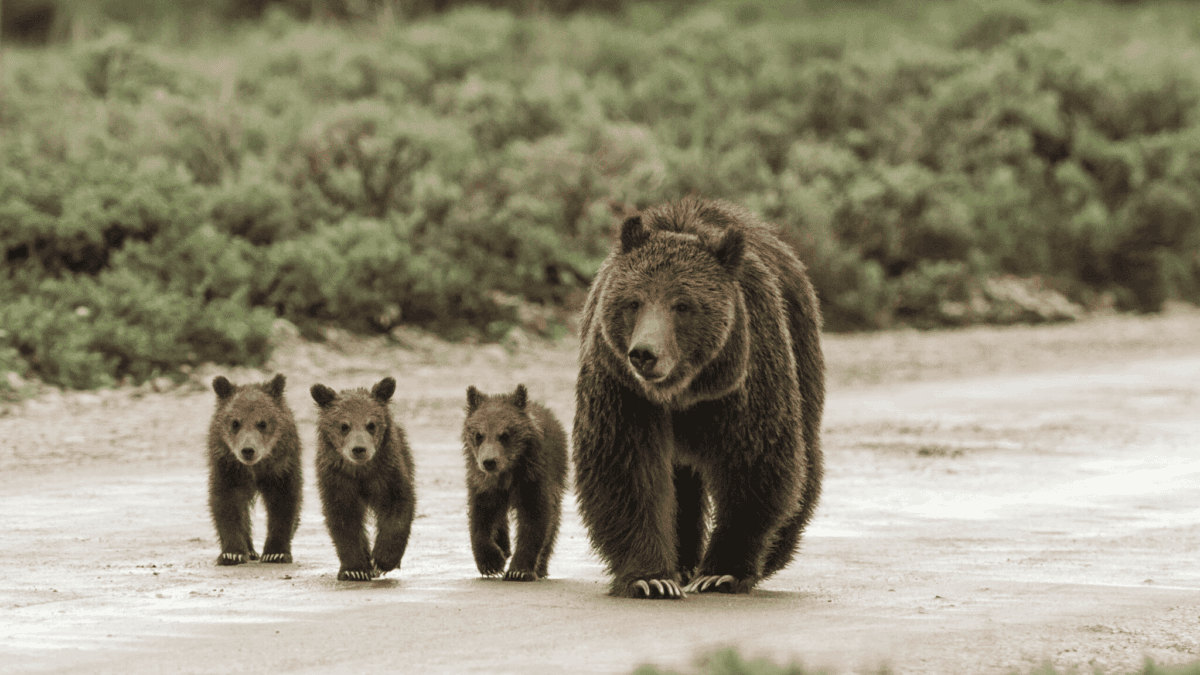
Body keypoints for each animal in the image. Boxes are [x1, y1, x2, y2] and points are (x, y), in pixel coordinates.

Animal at [207, 373, 303, 566]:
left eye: (262, 423)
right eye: (235, 423)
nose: (248, 450)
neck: (255, 469)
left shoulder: (281, 467)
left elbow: (284, 503)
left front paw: (276, 553)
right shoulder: (228, 466)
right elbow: (227, 502)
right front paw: (232, 554)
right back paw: (250, 550)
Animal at [311, 377, 416, 582]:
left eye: (371, 424)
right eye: (344, 425)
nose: (359, 449)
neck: (360, 472)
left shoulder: (386, 474)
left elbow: (399, 506)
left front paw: (383, 560)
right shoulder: (338, 480)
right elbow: (343, 520)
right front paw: (355, 569)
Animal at [461, 384, 568, 582]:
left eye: (505, 434)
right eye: (479, 434)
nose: (489, 461)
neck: (507, 472)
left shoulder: (532, 478)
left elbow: (535, 518)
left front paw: (518, 570)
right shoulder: (483, 482)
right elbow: (481, 516)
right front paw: (491, 562)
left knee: (554, 520)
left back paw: (541, 567)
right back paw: (504, 546)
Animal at [573, 196, 825, 599]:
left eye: (683, 305)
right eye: (634, 301)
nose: (644, 353)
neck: (683, 392)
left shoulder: (743, 382)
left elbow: (755, 463)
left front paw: (722, 572)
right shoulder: (623, 388)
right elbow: (626, 467)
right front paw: (651, 578)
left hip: (801, 348)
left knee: (805, 457)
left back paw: (773, 553)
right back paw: (682, 562)